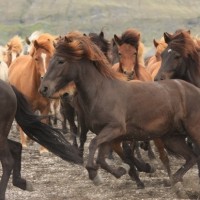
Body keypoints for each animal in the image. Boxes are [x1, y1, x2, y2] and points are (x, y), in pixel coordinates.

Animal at [39, 32, 200, 195]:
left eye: (61, 61)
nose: (44, 88)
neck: (101, 92)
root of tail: (195, 90)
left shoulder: (115, 129)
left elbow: (94, 144)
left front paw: (95, 174)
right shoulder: (108, 135)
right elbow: (103, 158)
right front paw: (121, 171)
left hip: (192, 131)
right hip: (172, 137)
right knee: (192, 157)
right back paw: (172, 180)